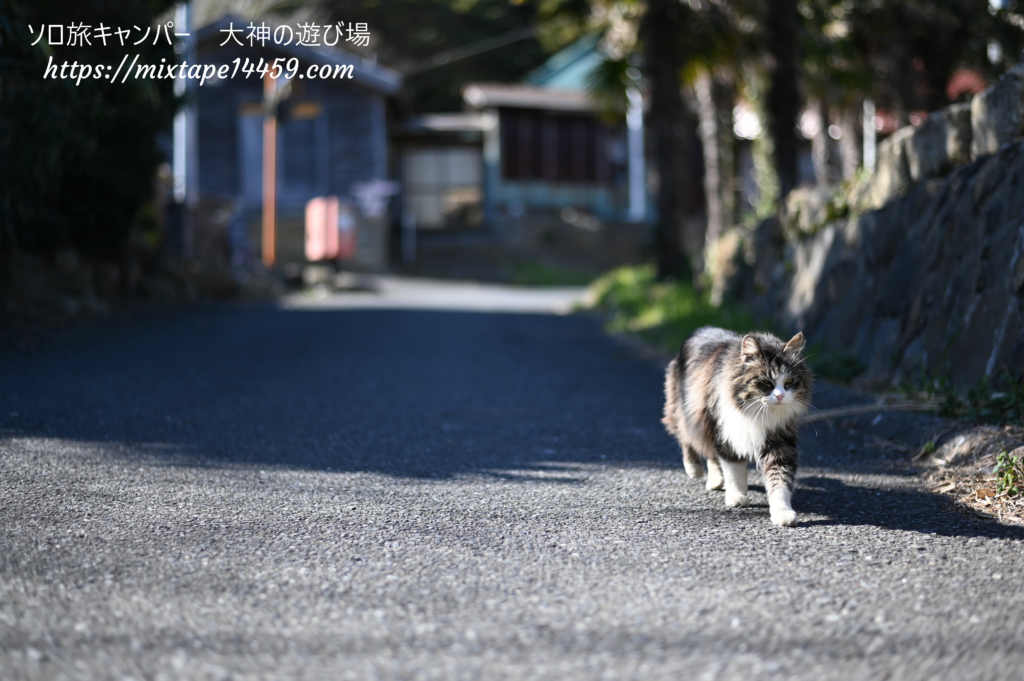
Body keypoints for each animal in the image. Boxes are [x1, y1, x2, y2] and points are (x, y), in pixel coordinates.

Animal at [663, 327, 815, 528]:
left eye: (789, 382)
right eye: (766, 383)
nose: (781, 396)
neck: (758, 413)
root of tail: (702, 328)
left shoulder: (779, 441)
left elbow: (780, 481)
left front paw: (782, 512)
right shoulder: (725, 430)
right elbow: (734, 469)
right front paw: (737, 496)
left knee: (710, 454)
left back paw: (715, 480)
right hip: (687, 411)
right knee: (686, 437)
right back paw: (694, 468)